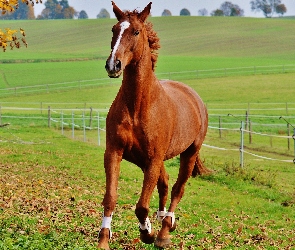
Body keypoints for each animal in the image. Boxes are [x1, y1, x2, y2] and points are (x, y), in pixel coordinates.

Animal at [98, 2, 209, 250]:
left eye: (136, 32)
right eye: (113, 29)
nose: (113, 65)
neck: (138, 106)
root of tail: (195, 98)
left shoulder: (153, 159)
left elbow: (141, 206)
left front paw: (147, 233)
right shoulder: (115, 152)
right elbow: (110, 197)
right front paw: (103, 240)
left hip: (188, 154)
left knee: (177, 189)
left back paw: (165, 230)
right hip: (146, 160)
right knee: (165, 184)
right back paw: (162, 219)